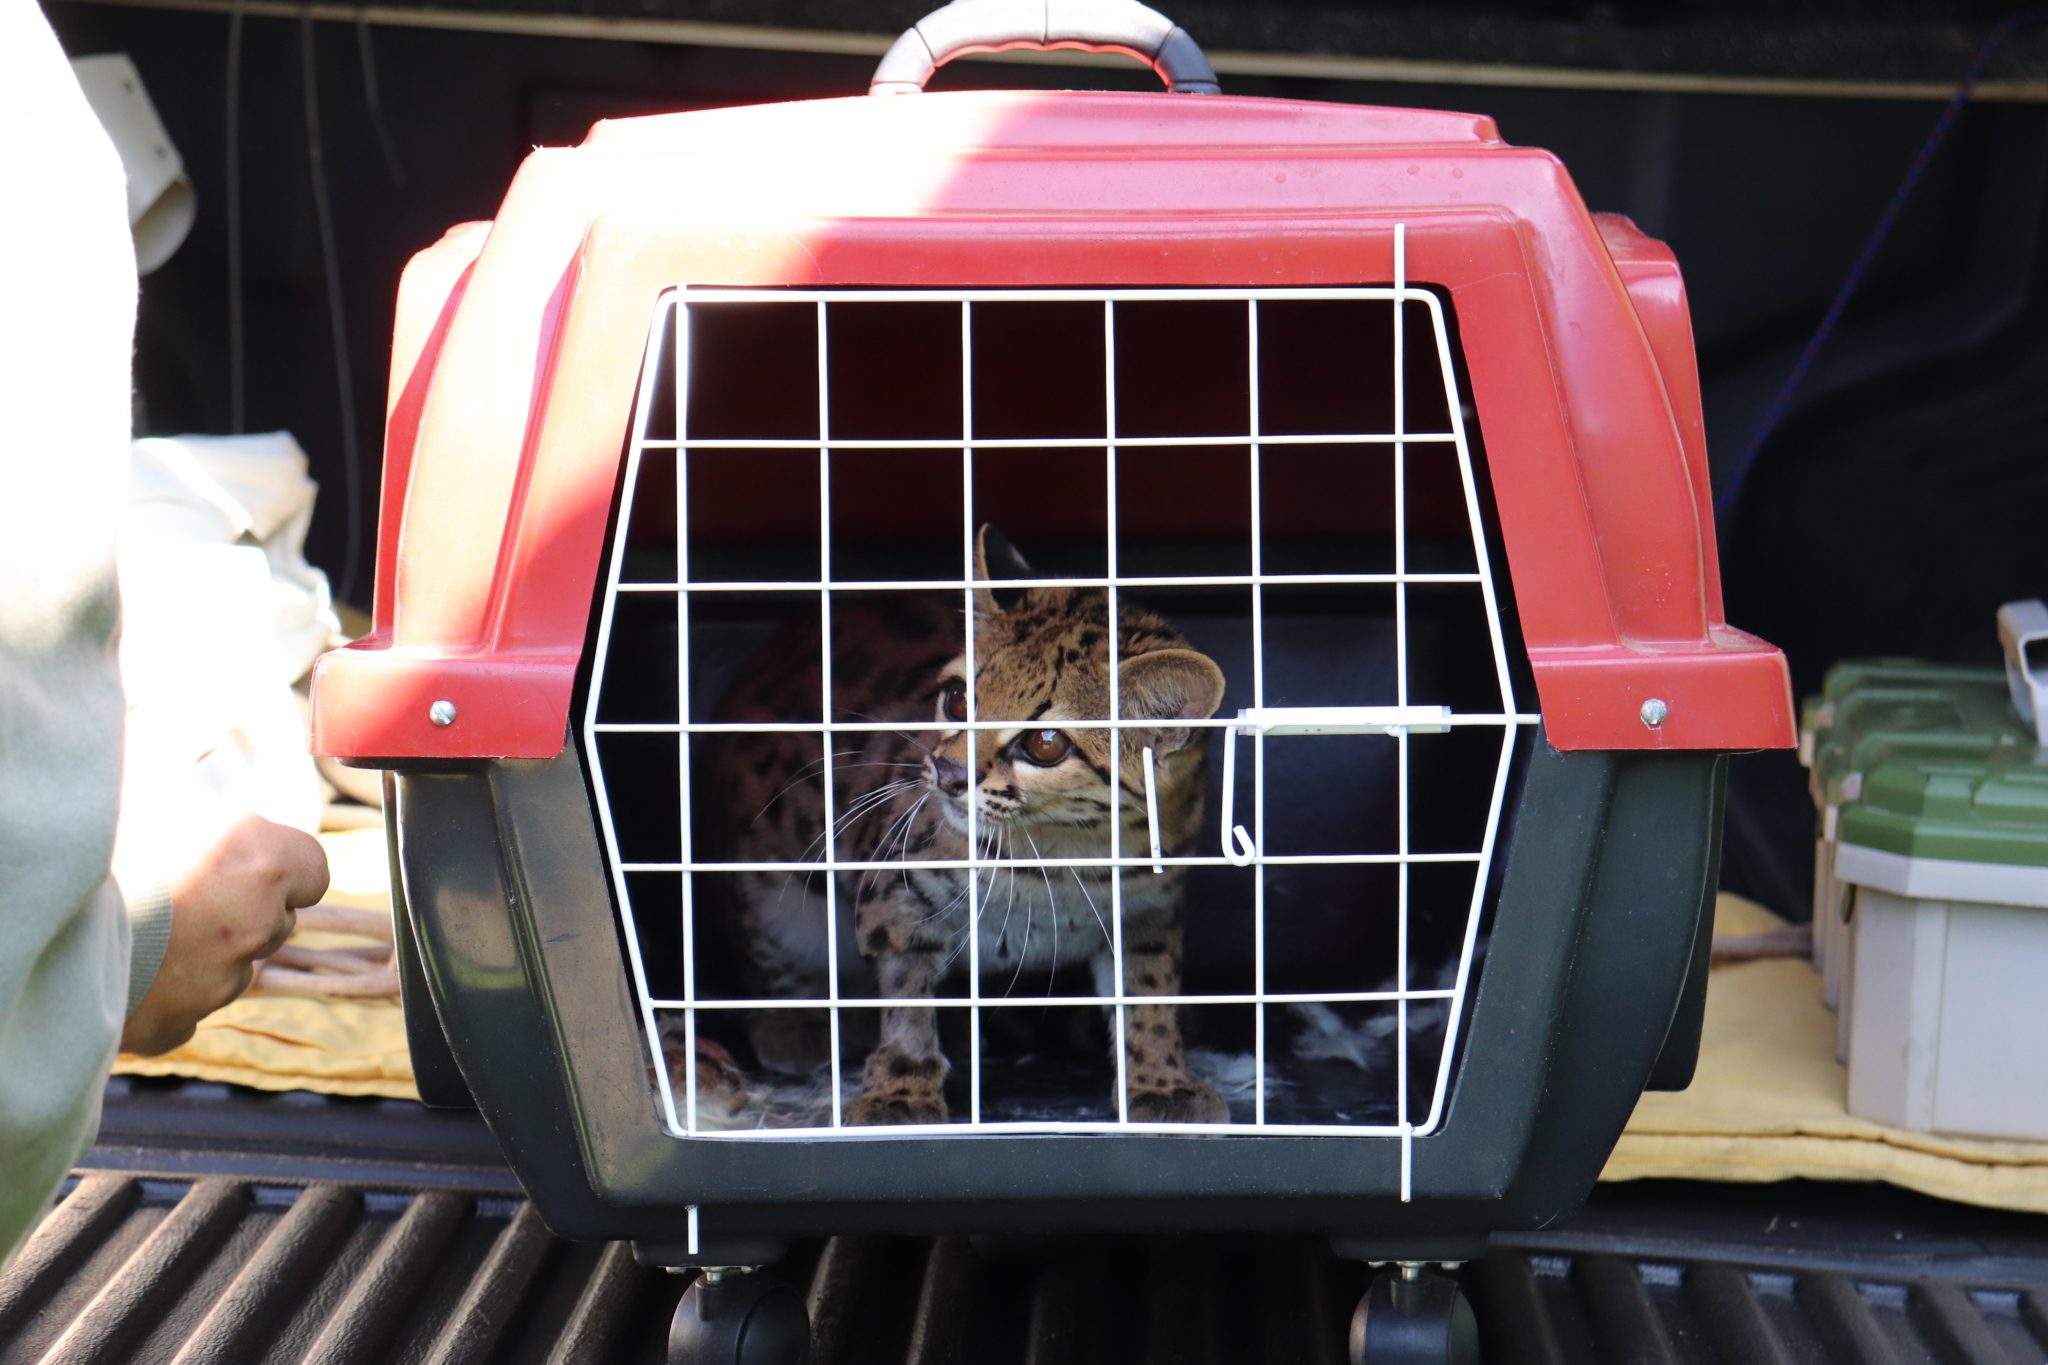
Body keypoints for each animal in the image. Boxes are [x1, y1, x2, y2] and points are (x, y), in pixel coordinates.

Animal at [702, 527, 1229, 1126]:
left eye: (1046, 744)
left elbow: (1148, 996)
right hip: (771, 882)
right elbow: (906, 999)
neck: (1062, 855)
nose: (948, 773)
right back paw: (794, 1023)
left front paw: (1161, 1081)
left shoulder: (1148, 913)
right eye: (957, 699)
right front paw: (900, 1091)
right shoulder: (892, 890)